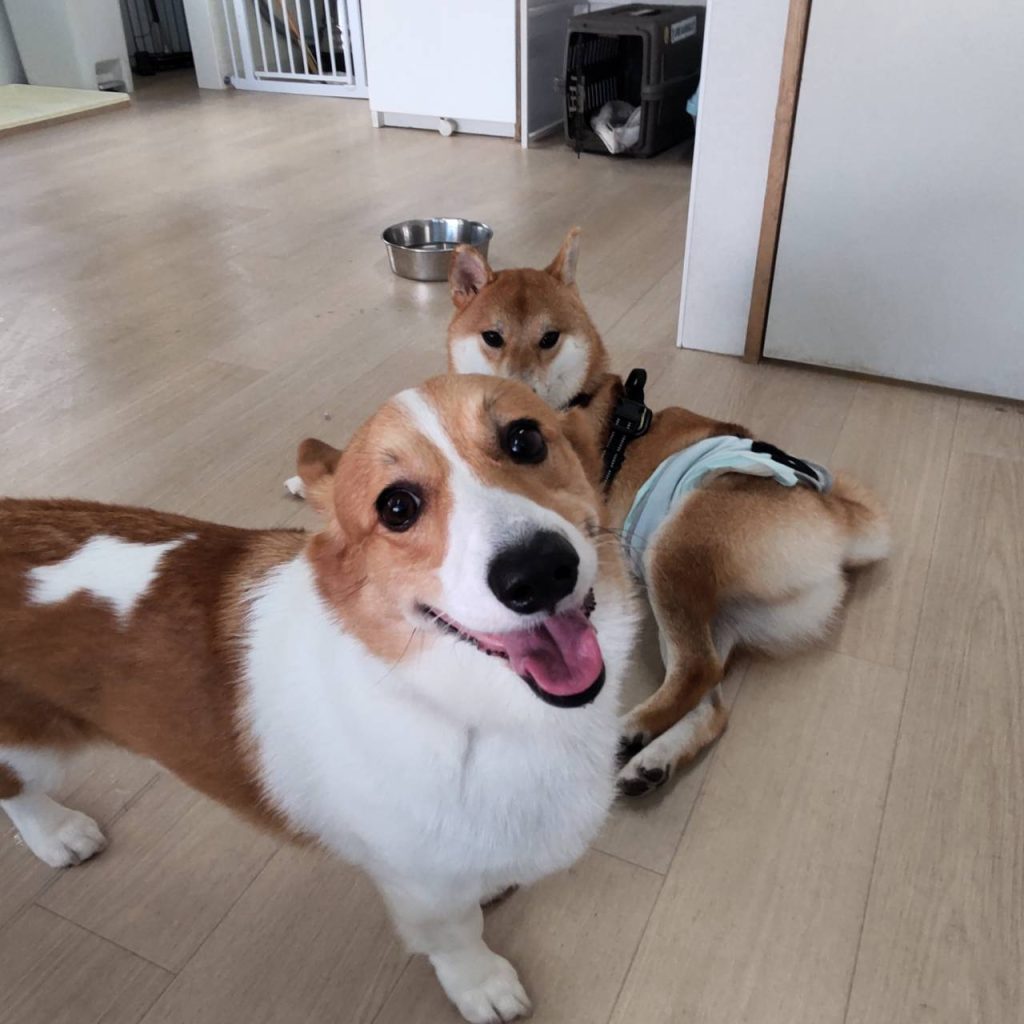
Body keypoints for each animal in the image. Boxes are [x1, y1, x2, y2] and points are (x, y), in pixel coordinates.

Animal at [0, 374, 636, 1024]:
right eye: (397, 507)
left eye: (525, 438)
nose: (539, 572)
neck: (474, 708)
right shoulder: (424, 886)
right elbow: (457, 935)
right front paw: (482, 986)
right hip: (27, 746)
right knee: (17, 790)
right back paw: (59, 835)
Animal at [447, 231, 891, 796]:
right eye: (492, 337)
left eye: (549, 338)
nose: (520, 387)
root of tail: (833, 514)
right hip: (700, 604)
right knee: (712, 695)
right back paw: (653, 760)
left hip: (671, 552)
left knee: (697, 671)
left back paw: (631, 730)